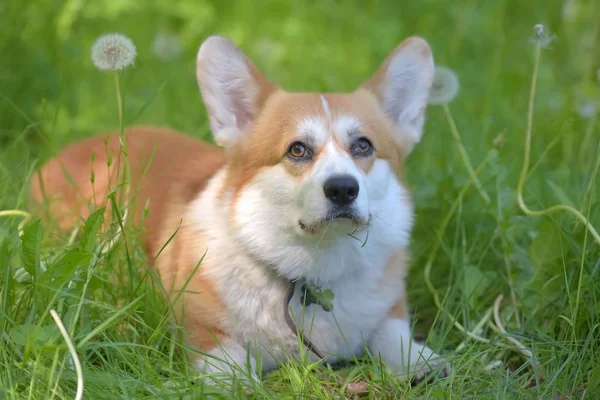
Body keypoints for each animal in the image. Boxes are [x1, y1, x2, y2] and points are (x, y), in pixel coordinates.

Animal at [29, 36, 450, 386]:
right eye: (297, 149)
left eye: (363, 146)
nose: (344, 189)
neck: (313, 267)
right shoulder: (204, 334)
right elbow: (231, 367)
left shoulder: (386, 308)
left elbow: (392, 333)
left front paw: (419, 360)